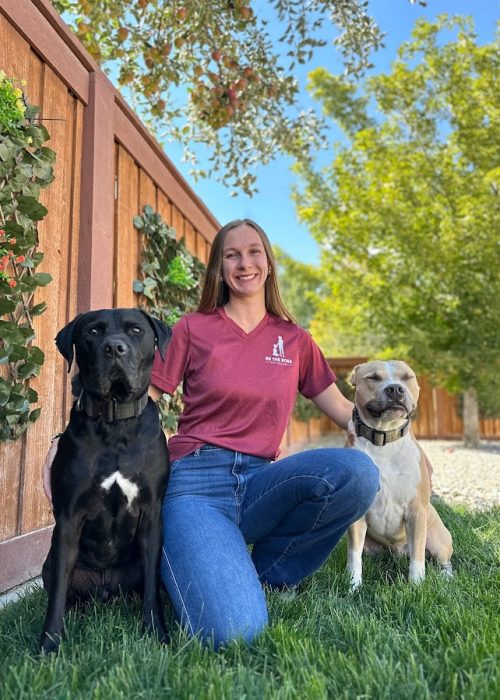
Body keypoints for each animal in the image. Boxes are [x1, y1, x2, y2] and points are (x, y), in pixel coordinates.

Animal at [40, 308, 172, 652]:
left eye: (136, 330)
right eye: (93, 332)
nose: (114, 348)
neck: (114, 419)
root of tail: (106, 588)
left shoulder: (152, 514)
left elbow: (152, 589)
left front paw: (157, 632)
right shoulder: (69, 518)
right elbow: (57, 594)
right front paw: (49, 643)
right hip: (51, 564)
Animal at [348, 358, 454, 588]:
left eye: (407, 377)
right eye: (373, 378)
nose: (395, 389)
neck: (384, 439)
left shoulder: (416, 512)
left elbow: (418, 556)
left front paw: (416, 585)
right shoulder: (357, 519)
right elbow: (353, 556)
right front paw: (352, 586)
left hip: (439, 540)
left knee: (443, 560)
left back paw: (446, 576)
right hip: (371, 547)